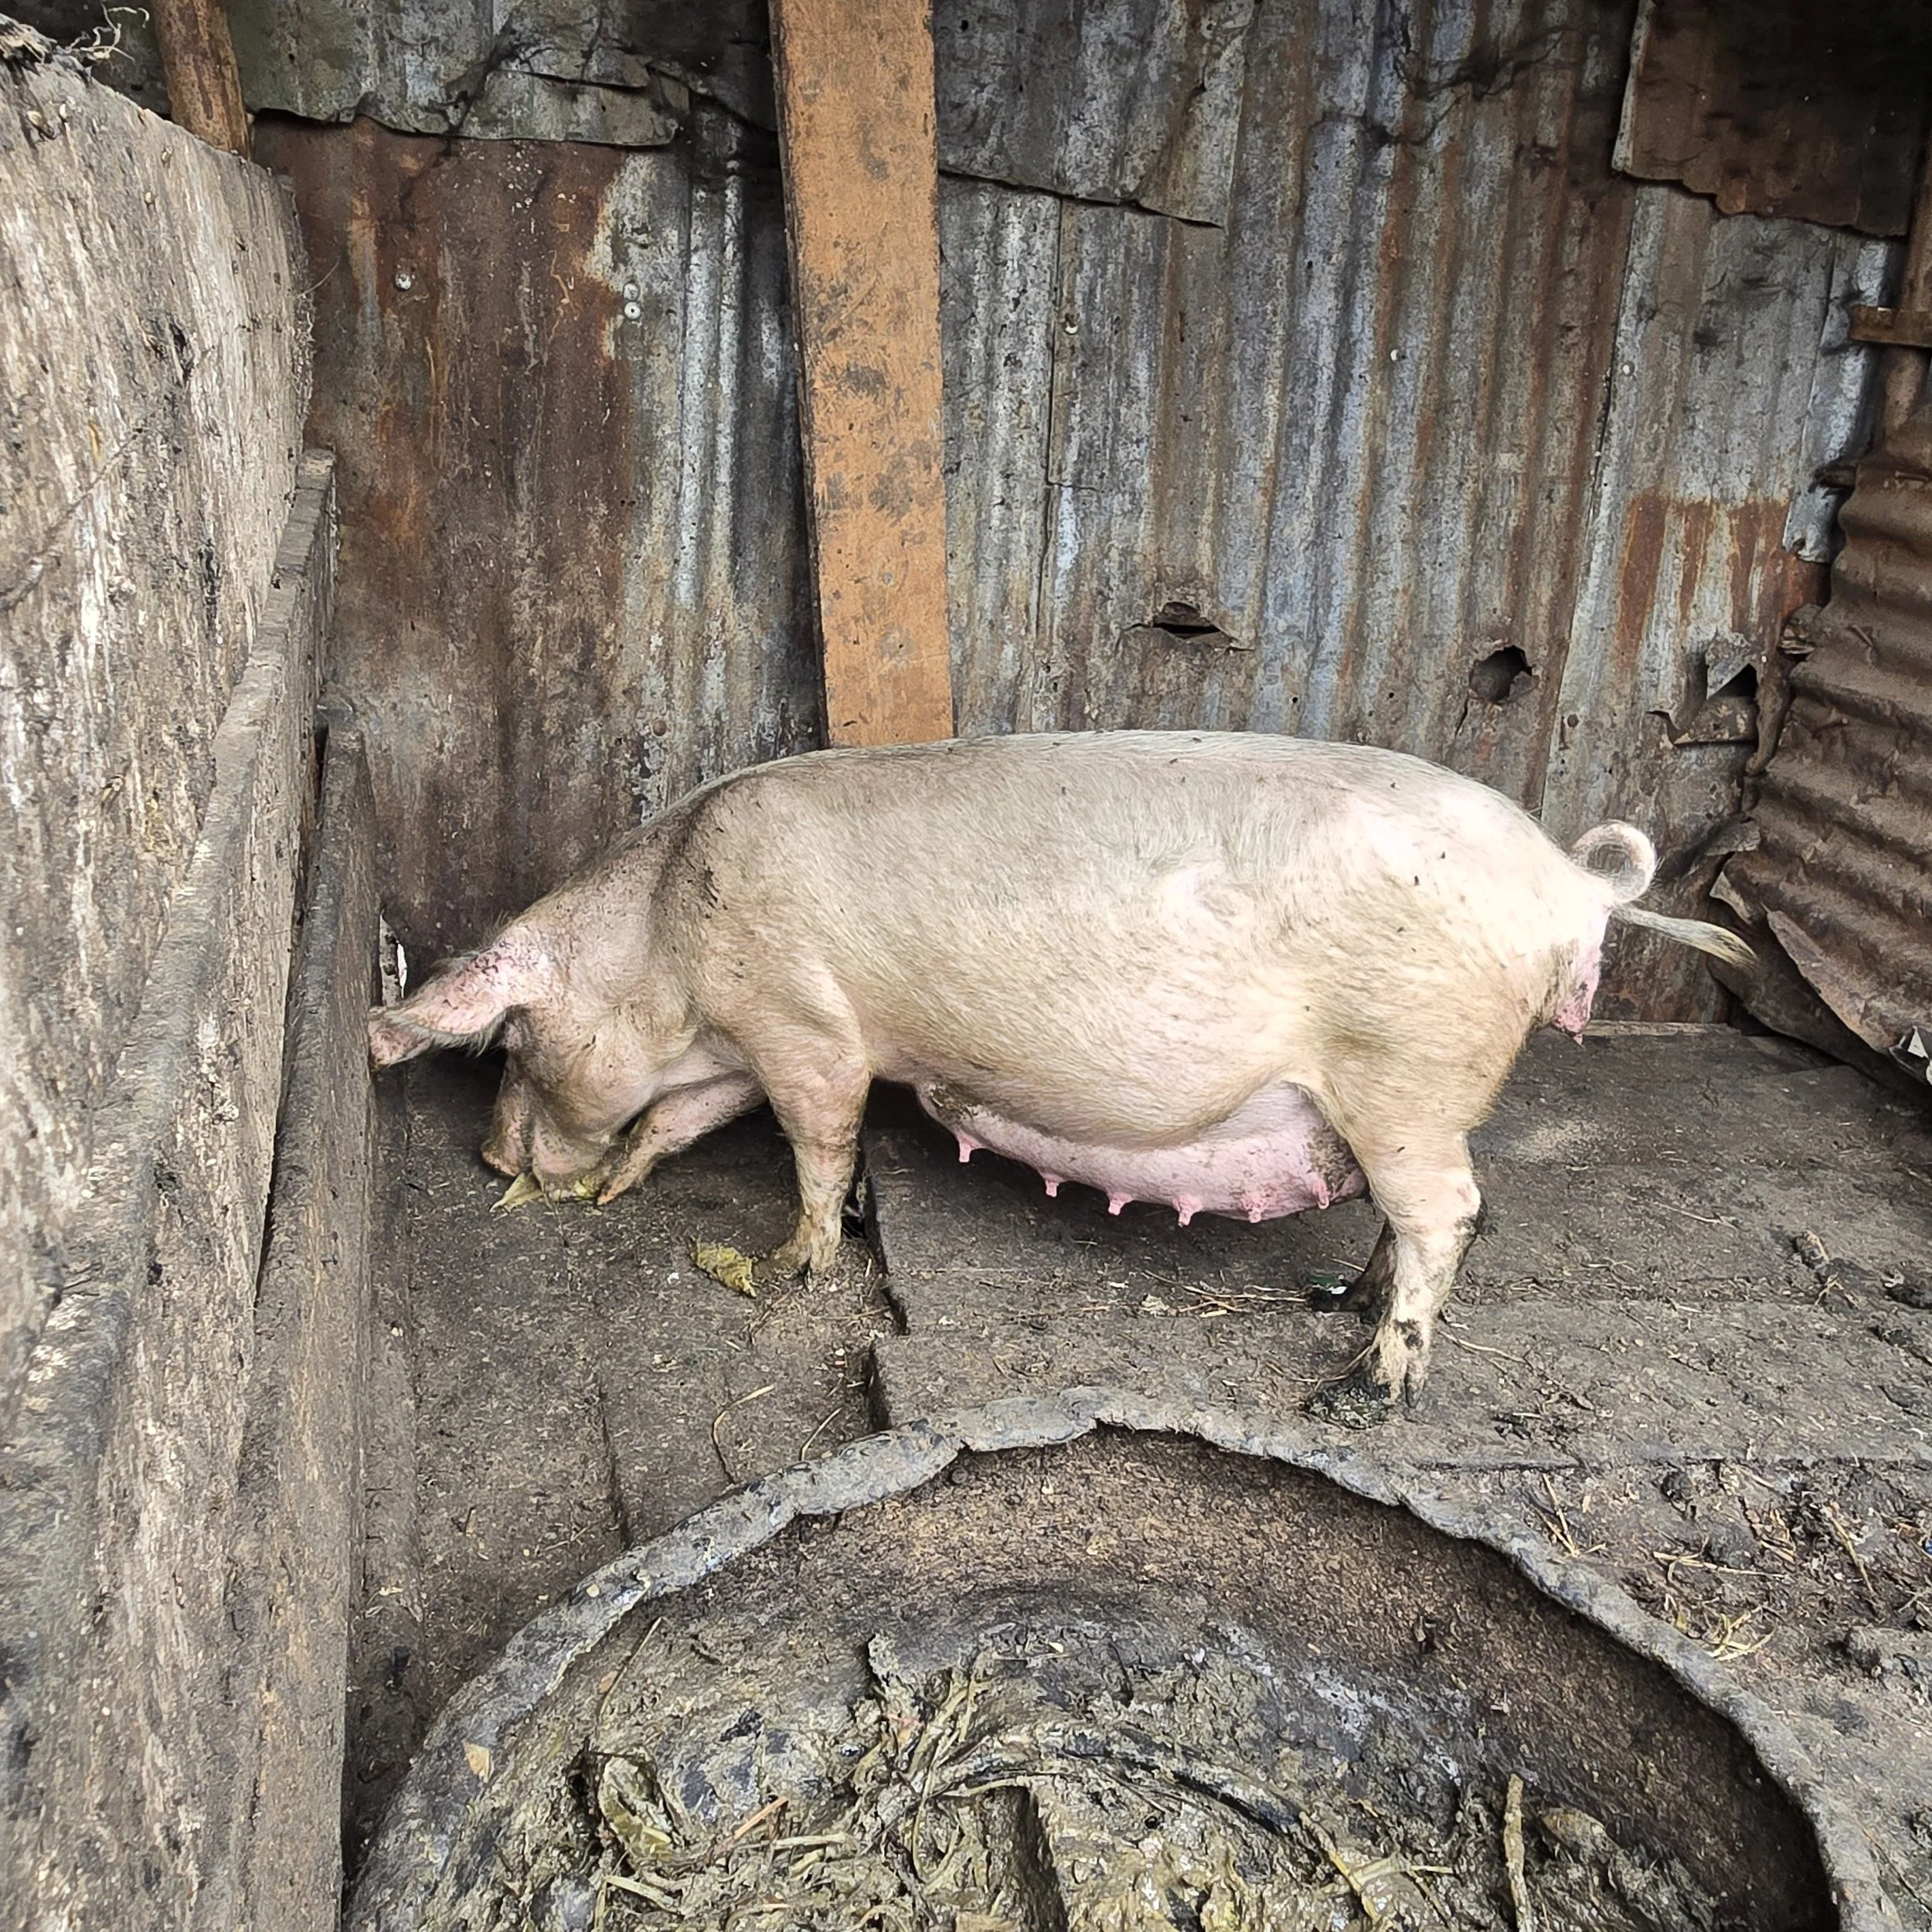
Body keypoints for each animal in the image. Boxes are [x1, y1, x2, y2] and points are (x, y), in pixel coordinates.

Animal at [366, 732, 1751, 1424]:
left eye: (507, 1044)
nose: (485, 1157)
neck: (663, 934)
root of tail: (1572, 885)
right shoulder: (747, 1043)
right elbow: (695, 1118)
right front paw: (623, 1189)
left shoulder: (804, 1024)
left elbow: (820, 1142)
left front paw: (793, 1267)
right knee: (1418, 1222)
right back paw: (1339, 1306)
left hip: (1406, 1069)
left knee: (1449, 1215)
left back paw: (1358, 1391)